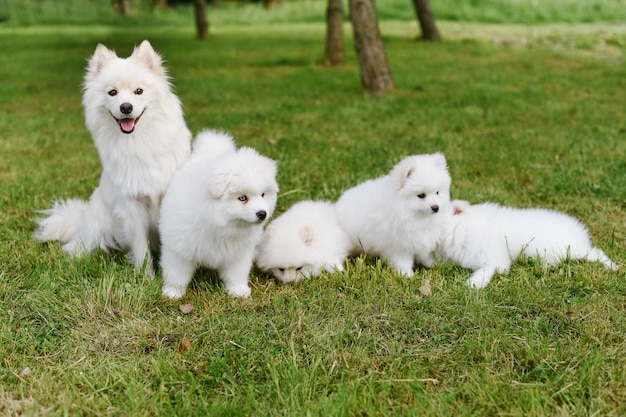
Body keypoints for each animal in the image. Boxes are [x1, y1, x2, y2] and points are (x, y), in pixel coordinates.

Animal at [33, 40, 190, 274]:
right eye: (112, 92)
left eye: (138, 91)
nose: (126, 107)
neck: (137, 141)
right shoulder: (132, 207)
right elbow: (141, 249)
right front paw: (146, 277)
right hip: (98, 225)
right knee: (83, 242)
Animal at [158, 130, 278, 300]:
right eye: (242, 198)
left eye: (263, 194)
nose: (262, 213)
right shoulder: (179, 248)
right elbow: (177, 273)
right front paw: (173, 292)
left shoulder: (238, 253)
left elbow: (236, 273)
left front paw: (238, 290)